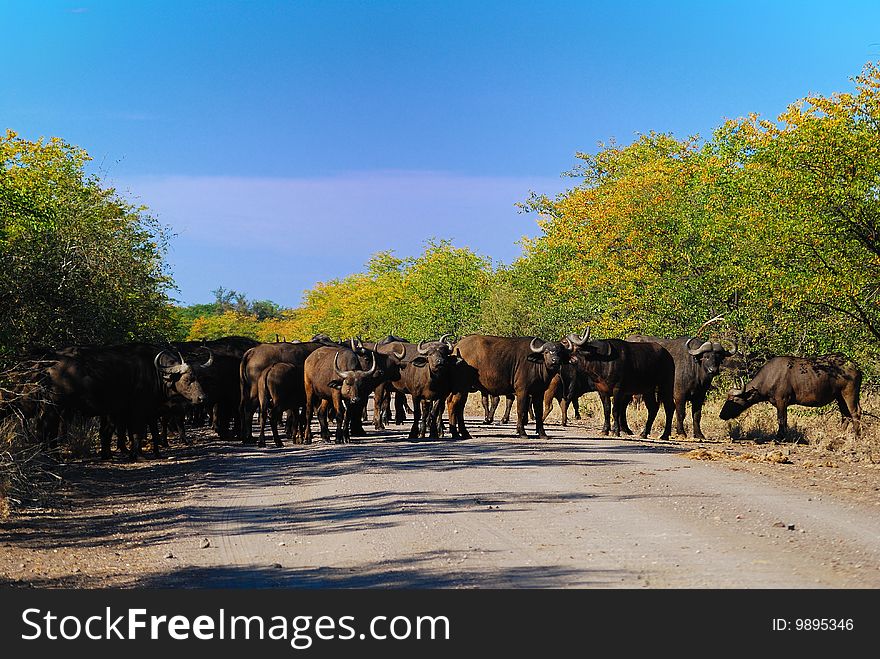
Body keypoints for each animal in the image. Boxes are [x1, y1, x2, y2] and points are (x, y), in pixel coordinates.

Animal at [446, 336, 576, 438]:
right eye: (546, 352)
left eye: (560, 352)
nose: (555, 361)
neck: (536, 364)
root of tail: (456, 347)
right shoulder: (522, 391)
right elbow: (521, 410)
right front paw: (522, 432)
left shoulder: (538, 392)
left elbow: (539, 412)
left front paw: (542, 434)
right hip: (461, 386)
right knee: (453, 403)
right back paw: (456, 433)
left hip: (464, 388)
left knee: (459, 407)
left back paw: (463, 433)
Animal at [720, 354, 860, 440]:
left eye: (734, 399)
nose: (721, 415)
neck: (770, 376)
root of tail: (855, 367)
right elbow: (784, 420)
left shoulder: (782, 401)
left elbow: (781, 419)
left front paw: (780, 437)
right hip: (839, 397)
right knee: (845, 415)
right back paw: (840, 434)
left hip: (849, 394)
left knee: (855, 413)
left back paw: (857, 436)